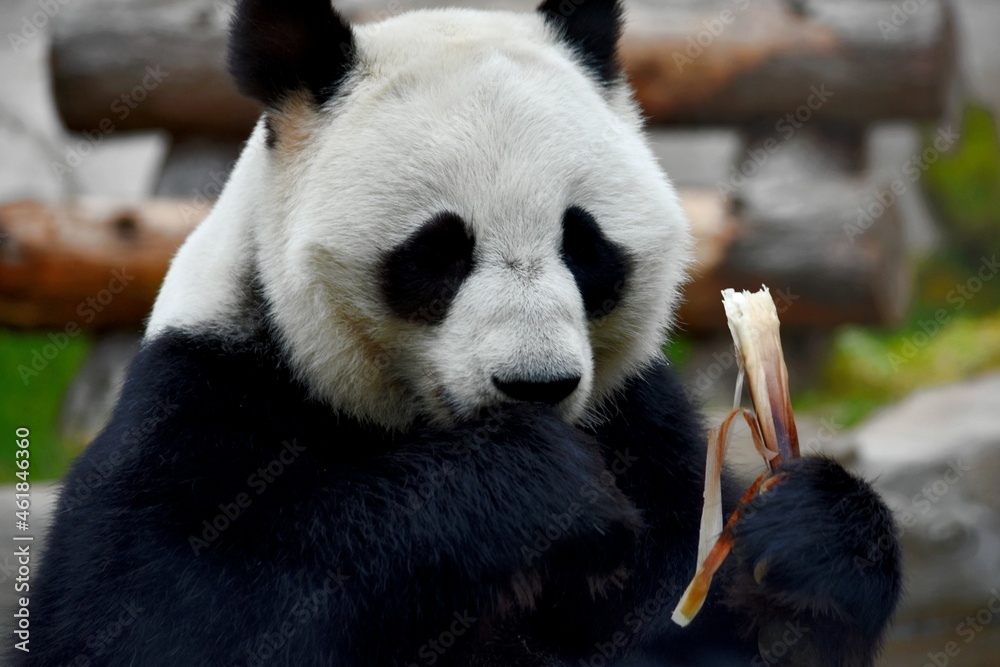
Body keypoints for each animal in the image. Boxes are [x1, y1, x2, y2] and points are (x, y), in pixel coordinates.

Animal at [19, 1, 904, 667]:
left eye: (583, 242)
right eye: (439, 250)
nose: (536, 387)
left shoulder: (644, 432)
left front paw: (804, 544)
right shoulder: (206, 396)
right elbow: (156, 608)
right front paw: (535, 488)